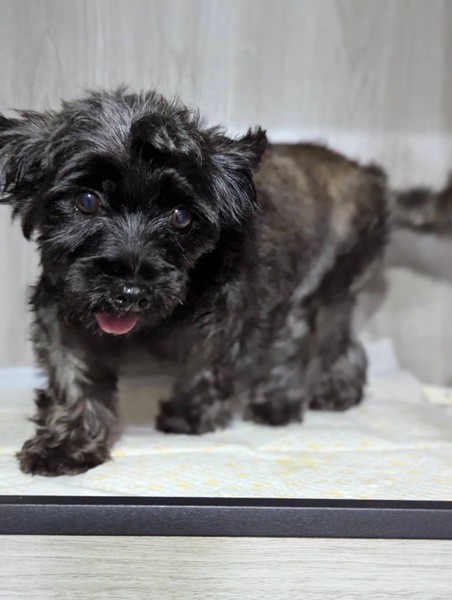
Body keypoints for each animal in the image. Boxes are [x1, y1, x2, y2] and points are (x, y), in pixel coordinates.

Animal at [0, 89, 442, 476]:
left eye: (181, 216)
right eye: (87, 201)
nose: (130, 293)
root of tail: (375, 180)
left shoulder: (234, 324)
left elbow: (212, 370)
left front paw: (190, 416)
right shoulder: (65, 318)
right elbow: (75, 383)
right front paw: (67, 445)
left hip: (318, 289)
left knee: (306, 344)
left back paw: (281, 403)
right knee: (342, 343)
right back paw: (337, 392)